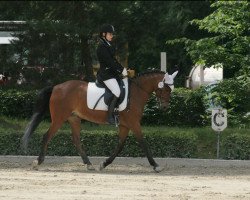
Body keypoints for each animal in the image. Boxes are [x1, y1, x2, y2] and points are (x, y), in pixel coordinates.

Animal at [21, 70, 178, 172]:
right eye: (166, 88)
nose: (165, 108)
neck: (136, 93)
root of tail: (56, 87)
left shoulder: (125, 126)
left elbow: (119, 146)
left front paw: (104, 163)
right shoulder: (134, 124)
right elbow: (144, 143)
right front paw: (156, 165)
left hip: (74, 119)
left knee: (76, 140)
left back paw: (89, 164)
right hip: (59, 119)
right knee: (47, 136)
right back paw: (38, 162)